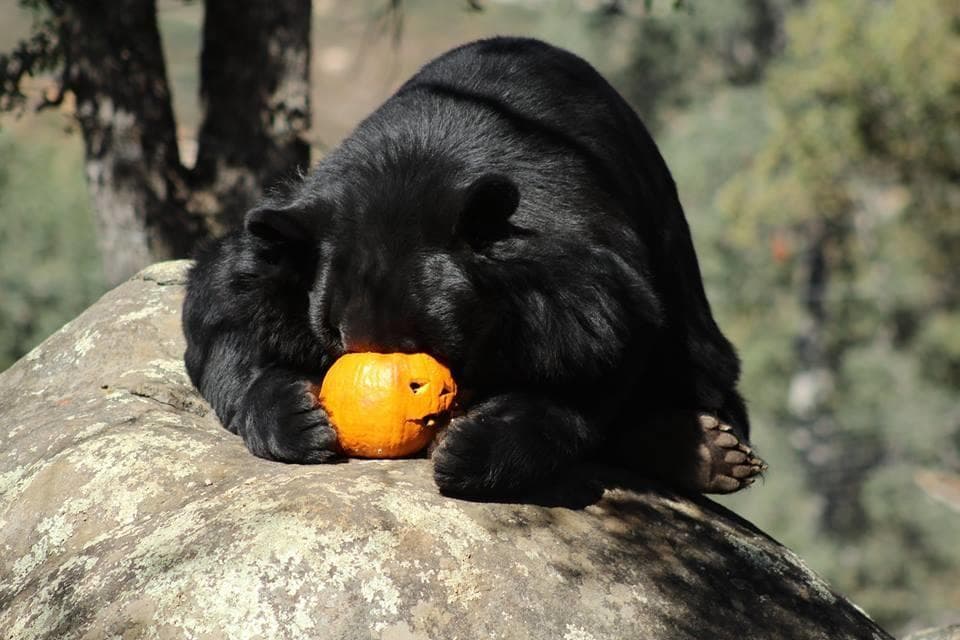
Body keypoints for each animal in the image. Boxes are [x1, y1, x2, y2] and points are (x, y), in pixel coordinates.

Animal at [182, 37, 765, 499]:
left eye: (428, 343)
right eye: (339, 339)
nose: (399, 403)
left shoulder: (582, 268)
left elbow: (596, 351)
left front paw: (471, 450)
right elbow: (226, 311)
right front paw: (298, 419)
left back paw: (713, 452)